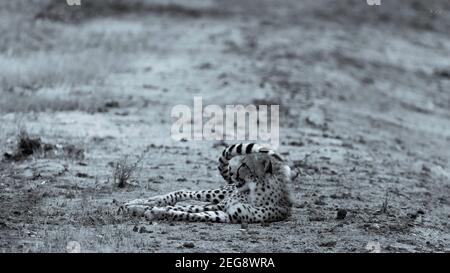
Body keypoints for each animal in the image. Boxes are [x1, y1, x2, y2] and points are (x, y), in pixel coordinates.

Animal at [123, 142, 294, 223]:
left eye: (244, 165)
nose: (233, 173)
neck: (255, 192)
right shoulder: (223, 206)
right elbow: (186, 208)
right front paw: (141, 208)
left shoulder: (227, 214)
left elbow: (190, 214)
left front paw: (156, 212)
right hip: (218, 194)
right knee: (183, 192)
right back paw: (141, 202)